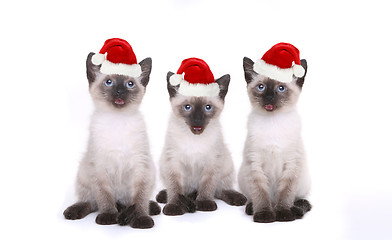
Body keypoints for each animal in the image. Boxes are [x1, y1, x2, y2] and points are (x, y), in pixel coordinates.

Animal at [62, 52, 159, 229]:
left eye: (130, 84)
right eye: (109, 82)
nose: (120, 91)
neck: (117, 120)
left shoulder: (141, 167)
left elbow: (140, 199)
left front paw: (141, 218)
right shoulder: (99, 167)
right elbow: (104, 197)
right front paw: (108, 216)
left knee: (132, 202)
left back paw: (147, 209)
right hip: (84, 172)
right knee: (91, 202)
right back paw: (74, 212)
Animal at [155, 71, 245, 216]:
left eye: (207, 107)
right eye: (187, 107)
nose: (197, 121)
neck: (194, 139)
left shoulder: (212, 162)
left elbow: (207, 186)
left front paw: (204, 203)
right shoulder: (173, 162)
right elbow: (175, 187)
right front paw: (174, 206)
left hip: (226, 164)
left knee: (220, 190)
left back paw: (237, 199)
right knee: (181, 190)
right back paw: (164, 196)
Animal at [239, 56, 312, 223]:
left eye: (281, 88)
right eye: (261, 87)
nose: (269, 97)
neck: (273, 123)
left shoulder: (292, 165)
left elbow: (285, 194)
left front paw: (283, 214)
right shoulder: (255, 165)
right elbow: (260, 195)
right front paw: (264, 216)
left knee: (300, 200)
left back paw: (295, 211)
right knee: (256, 199)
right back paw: (252, 208)